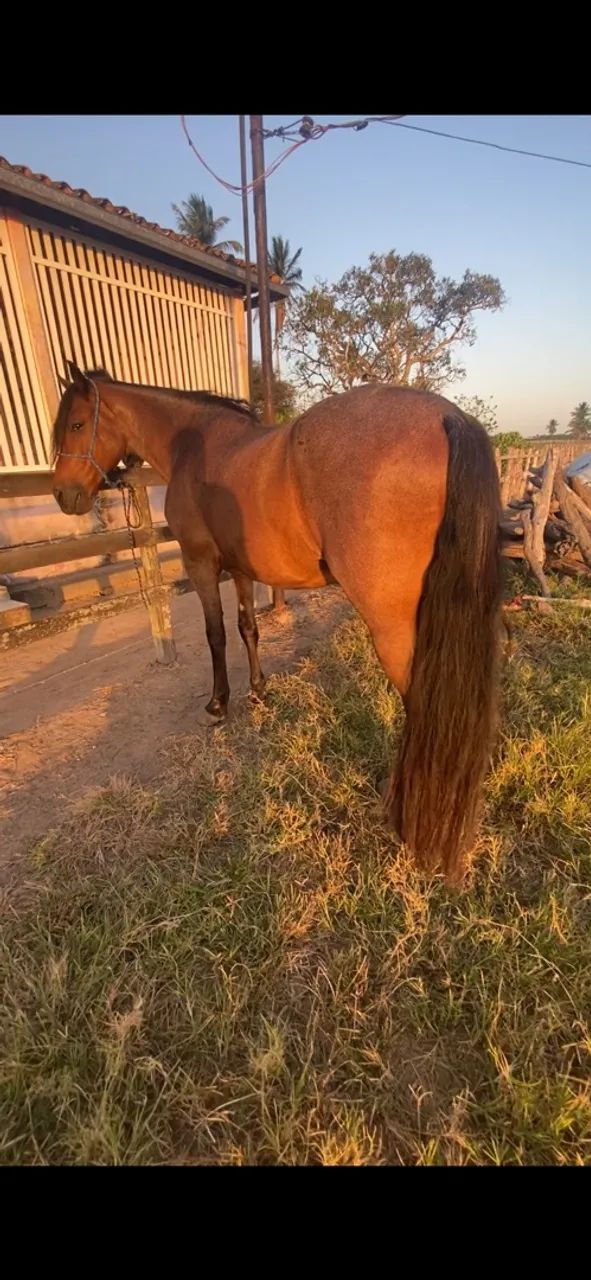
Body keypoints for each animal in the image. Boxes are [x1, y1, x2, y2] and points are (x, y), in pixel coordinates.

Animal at [51, 362, 502, 881]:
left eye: (76, 424)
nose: (63, 496)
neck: (193, 445)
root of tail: (449, 417)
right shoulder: (242, 569)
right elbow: (248, 627)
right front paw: (259, 691)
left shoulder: (202, 564)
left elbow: (216, 634)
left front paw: (218, 705)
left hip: (396, 628)